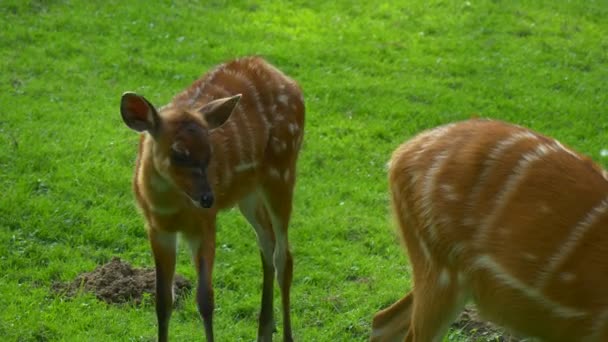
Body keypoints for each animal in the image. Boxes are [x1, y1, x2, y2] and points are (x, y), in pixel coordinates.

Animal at [120, 56, 304, 342]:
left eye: (210, 152)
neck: (171, 207)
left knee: (284, 257)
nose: (207, 197)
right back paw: (264, 330)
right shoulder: (157, 228)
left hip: (283, 168)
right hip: (248, 192)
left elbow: (205, 300)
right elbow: (163, 302)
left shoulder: (206, 223)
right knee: (267, 244)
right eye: (178, 153)